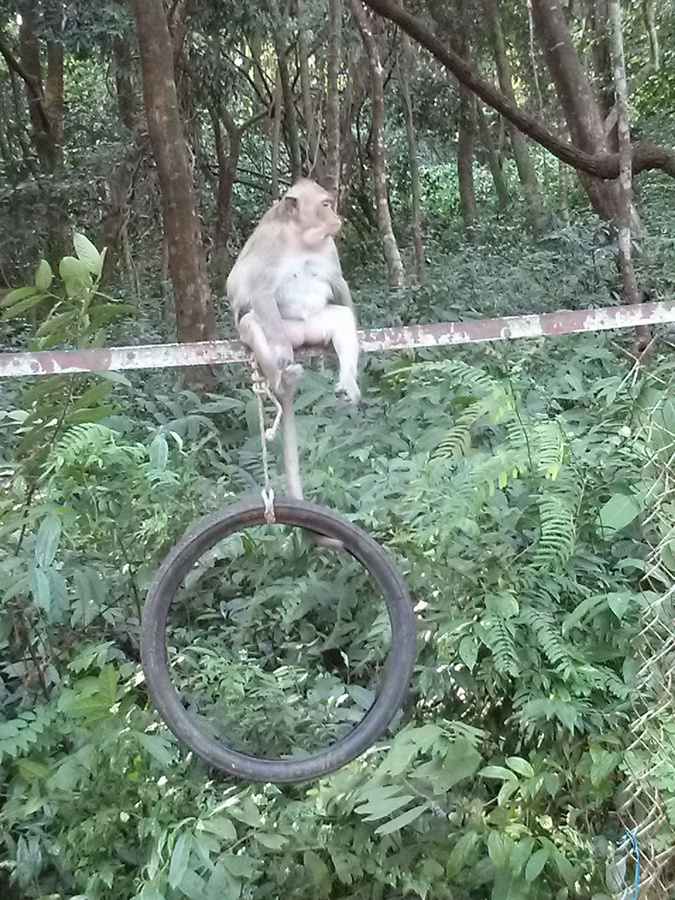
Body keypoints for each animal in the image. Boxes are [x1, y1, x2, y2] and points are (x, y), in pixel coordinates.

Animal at [227, 179, 362, 536]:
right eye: (326, 205)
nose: (337, 216)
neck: (301, 239)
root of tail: (301, 335)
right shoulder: (270, 245)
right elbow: (256, 292)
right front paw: (281, 354)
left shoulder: (328, 250)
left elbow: (338, 285)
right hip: (283, 329)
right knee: (254, 321)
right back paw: (281, 376)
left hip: (314, 326)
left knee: (340, 316)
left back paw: (347, 382)